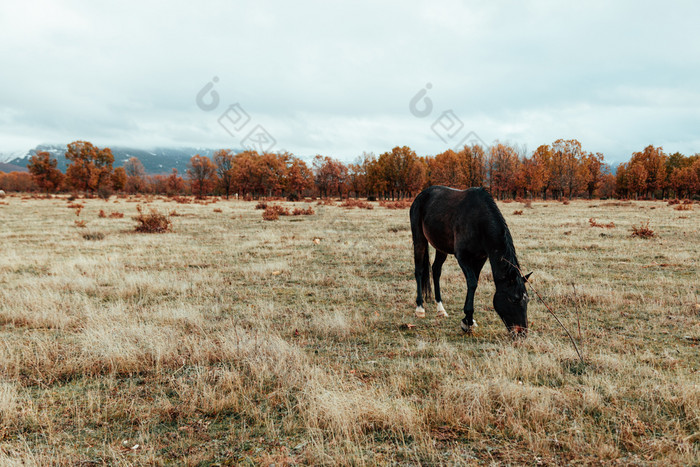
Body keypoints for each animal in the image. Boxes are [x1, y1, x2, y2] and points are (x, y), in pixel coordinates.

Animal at [410, 186, 532, 336]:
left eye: (527, 300)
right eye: (513, 299)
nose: (521, 333)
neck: (479, 221)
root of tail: (421, 194)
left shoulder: (481, 258)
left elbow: (474, 283)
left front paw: (469, 321)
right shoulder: (463, 257)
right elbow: (472, 283)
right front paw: (467, 322)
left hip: (441, 247)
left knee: (436, 270)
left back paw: (441, 309)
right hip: (419, 239)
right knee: (419, 271)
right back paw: (420, 308)